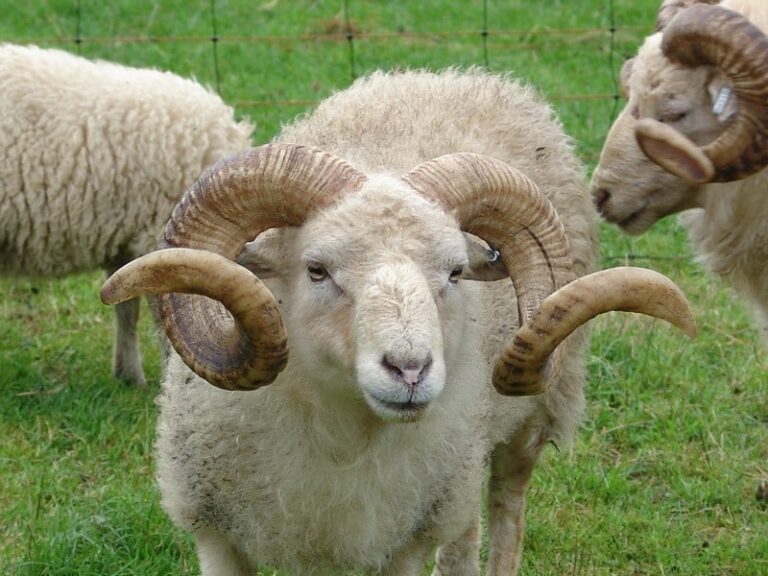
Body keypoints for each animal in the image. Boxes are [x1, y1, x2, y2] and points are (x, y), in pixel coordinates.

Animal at [101, 68, 696, 575]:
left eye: (455, 272)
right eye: (316, 270)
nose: (409, 370)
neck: (342, 437)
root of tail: (466, 78)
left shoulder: (405, 541)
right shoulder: (215, 532)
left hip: (530, 416)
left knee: (506, 505)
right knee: (465, 531)